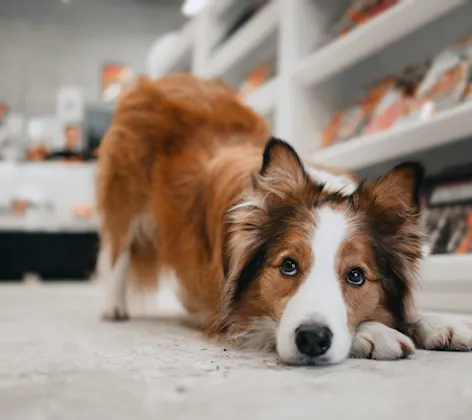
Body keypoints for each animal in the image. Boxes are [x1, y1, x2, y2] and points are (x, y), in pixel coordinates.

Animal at [97, 74, 472, 366]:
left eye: (356, 276)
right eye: (288, 266)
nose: (312, 339)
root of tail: (167, 78)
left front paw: (437, 323)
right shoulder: (234, 318)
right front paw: (377, 333)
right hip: (127, 203)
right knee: (117, 253)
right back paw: (114, 307)